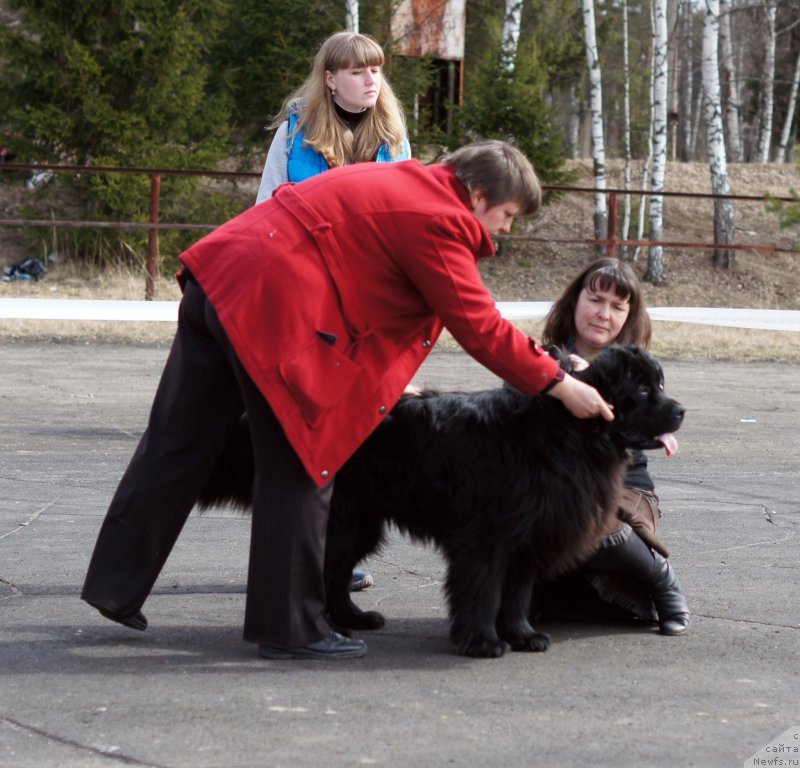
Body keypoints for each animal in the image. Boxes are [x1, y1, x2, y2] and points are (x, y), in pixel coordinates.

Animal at [197, 344, 684, 656]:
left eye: (661, 383)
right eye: (643, 391)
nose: (680, 410)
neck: (570, 430)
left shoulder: (529, 535)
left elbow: (517, 593)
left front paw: (522, 635)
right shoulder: (487, 537)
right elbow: (484, 589)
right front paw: (482, 642)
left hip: (360, 523)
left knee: (334, 575)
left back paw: (353, 620)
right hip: (344, 519)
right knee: (320, 569)